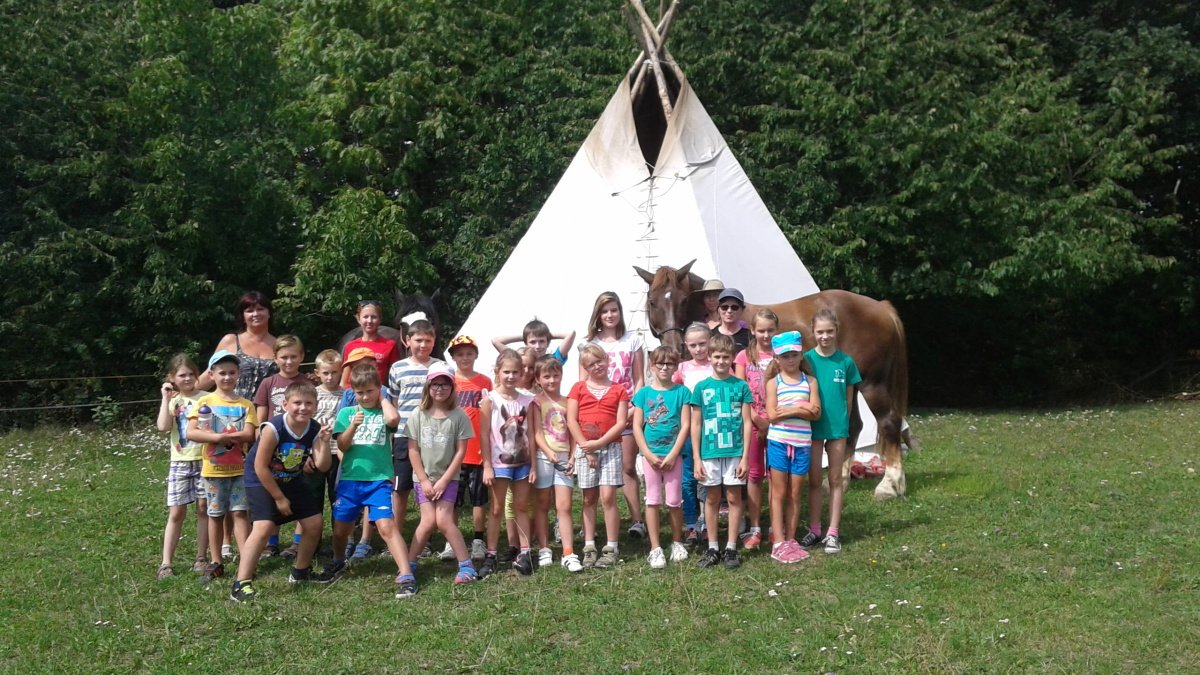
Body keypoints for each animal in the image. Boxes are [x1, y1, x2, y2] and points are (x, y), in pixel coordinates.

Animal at [635, 261, 910, 500]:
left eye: (682, 301)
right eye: (652, 301)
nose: (674, 347)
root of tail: (882, 307)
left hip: (873, 385)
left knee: (889, 422)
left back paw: (889, 485)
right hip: (849, 385)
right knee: (853, 426)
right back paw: (838, 481)